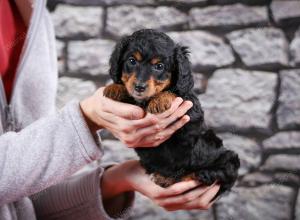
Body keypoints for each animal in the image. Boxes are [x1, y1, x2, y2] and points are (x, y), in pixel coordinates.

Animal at [103, 29, 239, 198]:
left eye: (159, 66)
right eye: (132, 61)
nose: (139, 87)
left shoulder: (189, 119)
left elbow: (176, 93)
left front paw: (161, 100)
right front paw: (115, 88)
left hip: (224, 156)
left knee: (218, 175)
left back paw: (180, 176)